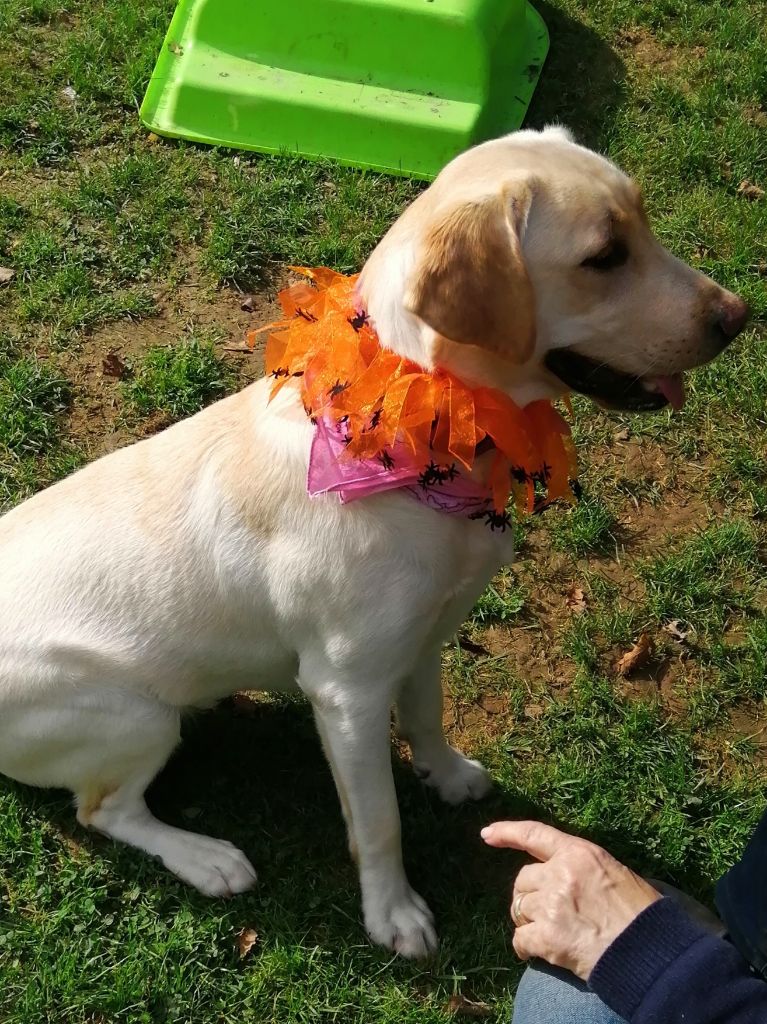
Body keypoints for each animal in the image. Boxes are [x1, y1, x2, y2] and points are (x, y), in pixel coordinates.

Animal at [0, 130, 745, 958]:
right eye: (605, 256)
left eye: (642, 222)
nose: (739, 316)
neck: (423, 433)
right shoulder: (347, 692)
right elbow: (380, 820)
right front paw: (394, 915)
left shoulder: (425, 635)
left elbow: (427, 717)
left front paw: (446, 776)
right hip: (135, 717)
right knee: (104, 810)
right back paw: (207, 858)